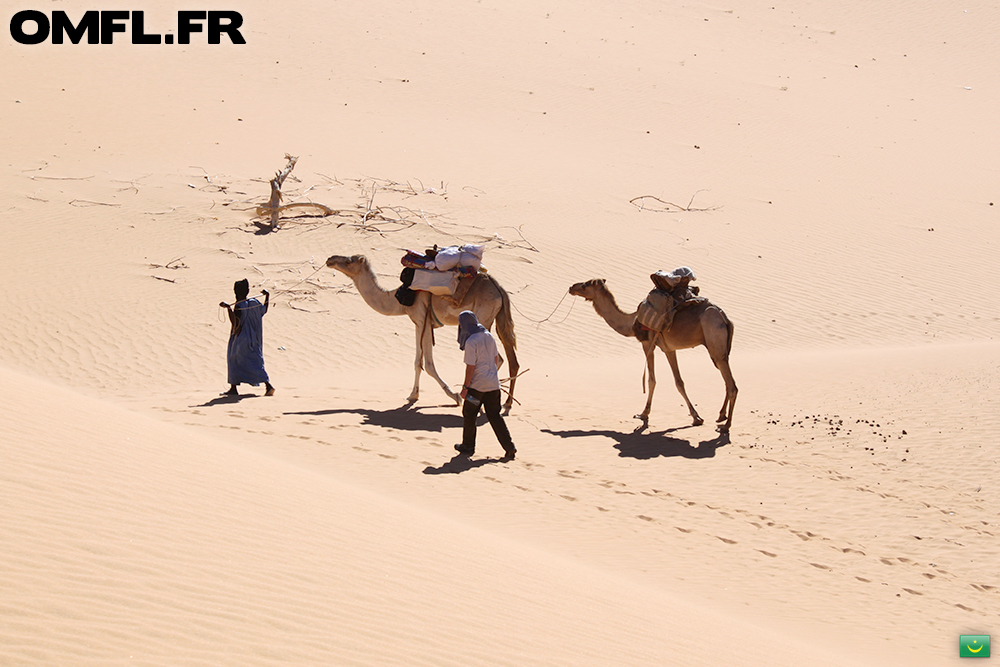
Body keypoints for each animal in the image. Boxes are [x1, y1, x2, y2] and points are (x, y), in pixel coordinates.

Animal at [326, 256, 520, 412]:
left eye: (349, 261)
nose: (330, 259)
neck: (399, 299)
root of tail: (499, 289)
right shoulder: (418, 324)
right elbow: (417, 363)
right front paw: (413, 395)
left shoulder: (423, 321)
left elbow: (428, 365)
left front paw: (454, 396)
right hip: (496, 317)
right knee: (510, 359)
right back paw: (507, 403)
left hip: (483, 316)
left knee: (497, 358)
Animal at [572, 278, 736, 430]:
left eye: (585, 285)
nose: (572, 287)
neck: (632, 321)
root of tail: (724, 317)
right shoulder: (669, 349)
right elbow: (679, 382)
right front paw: (696, 417)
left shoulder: (647, 343)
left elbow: (652, 380)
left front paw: (644, 413)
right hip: (718, 349)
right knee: (726, 381)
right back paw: (721, 416)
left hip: (714, 336)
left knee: (732, 385)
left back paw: (726, 426)